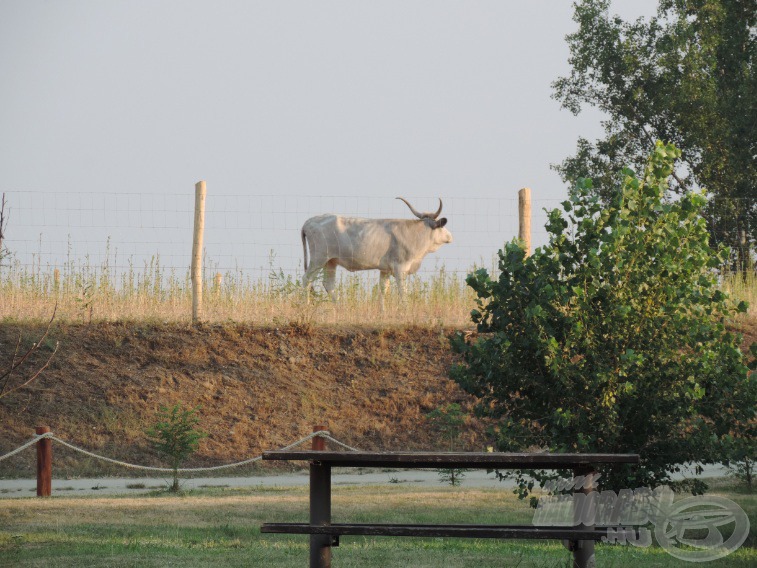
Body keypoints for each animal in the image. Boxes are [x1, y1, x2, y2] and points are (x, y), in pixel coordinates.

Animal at [302, 199, 452, 308]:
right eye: (442, 226)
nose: (450, 236)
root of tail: (310, 221)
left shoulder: (385, 269)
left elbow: (383, 290)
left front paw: (382, 311)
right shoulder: (400, 268)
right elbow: (403, 291)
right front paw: (405, 310)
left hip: (331, 261)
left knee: (329, 284)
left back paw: (339, 308)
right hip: (318, 258)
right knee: (307, 279)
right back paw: (306, 306)